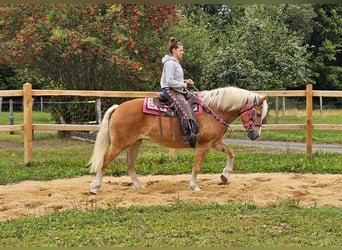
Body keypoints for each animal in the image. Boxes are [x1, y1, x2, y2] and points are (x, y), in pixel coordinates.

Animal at [87, 86, 268, 193]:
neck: (214, 110)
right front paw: (194, 186)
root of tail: (118, 108)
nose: (255, 135)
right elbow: (197, 166)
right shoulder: (203, 146)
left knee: (130, 163)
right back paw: (95, 188)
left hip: (135, 143)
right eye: (258, 113)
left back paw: (138, 186)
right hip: (119, 144)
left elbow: (231, 153)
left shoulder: (214, 143)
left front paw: (225, 176)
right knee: (104, 161)